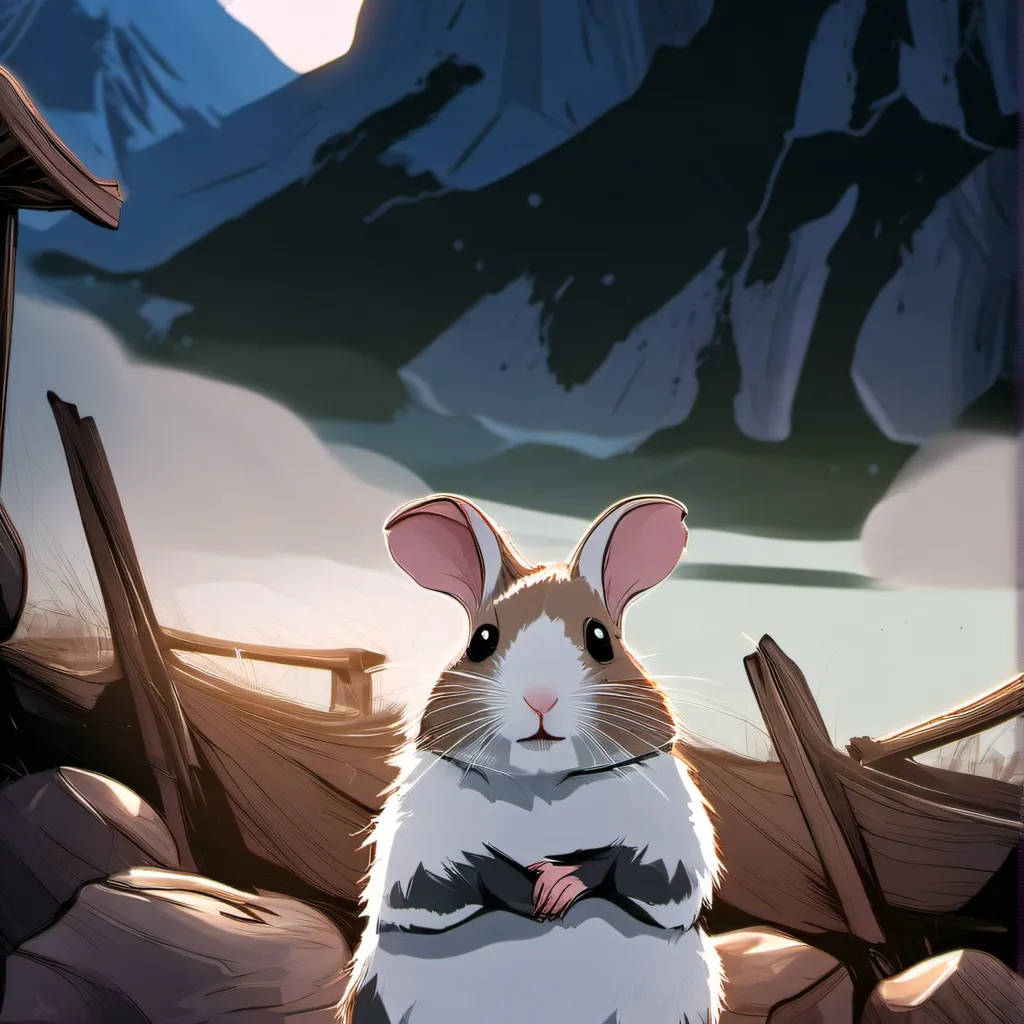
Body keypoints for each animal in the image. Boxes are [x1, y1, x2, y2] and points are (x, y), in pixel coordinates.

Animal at [340, 494, 722, 1024]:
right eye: (481, 641)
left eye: (600, 638)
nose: (540, 699)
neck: (543, 783)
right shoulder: (421, 856)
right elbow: (468, 874)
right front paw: (535, 894)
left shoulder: (669, 844)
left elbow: (628, 870)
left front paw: (557, 886)